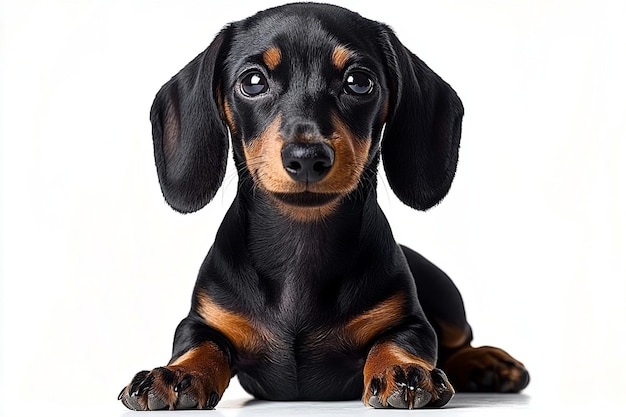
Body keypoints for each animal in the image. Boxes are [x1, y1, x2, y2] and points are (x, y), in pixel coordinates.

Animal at [117, 1, 528, 408]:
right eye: (253, 81)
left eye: (359, 81)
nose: (307, 156)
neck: (301, 247)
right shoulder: (200, 321)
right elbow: (199, 346)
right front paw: (175, 374)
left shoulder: (410, 322)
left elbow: (400, 341)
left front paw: (403, 370)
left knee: (461, 341)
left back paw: (487, 362)